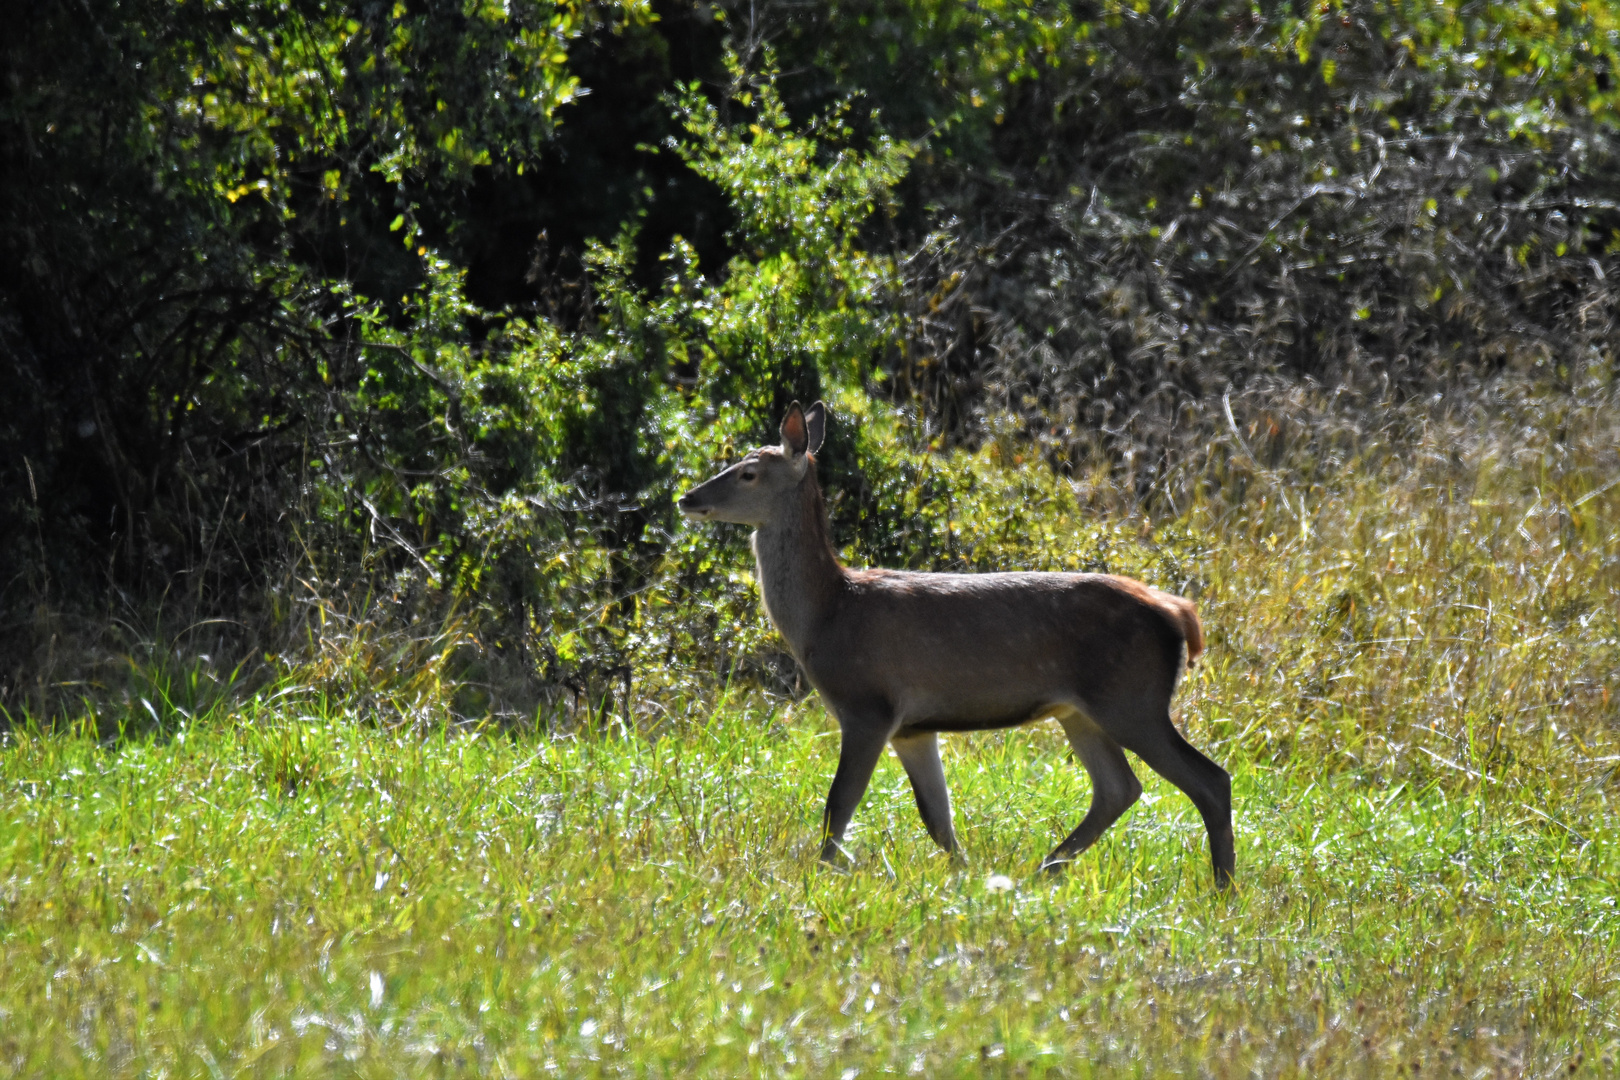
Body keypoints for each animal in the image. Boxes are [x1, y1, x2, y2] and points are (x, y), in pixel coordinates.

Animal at [677, 399, 1231, 887]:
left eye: (748, 472)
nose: (687, 498)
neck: (827, 614)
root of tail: (1178, 612)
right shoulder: (912, 728)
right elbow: (937, 818)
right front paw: (964, 876)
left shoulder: (867, 704)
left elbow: (839, 804)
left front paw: (818, 878)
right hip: (1081, 710)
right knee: (1119, 788)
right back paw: (1045, 869)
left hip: (1132, 697)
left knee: (1210, 780)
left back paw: (1221, 887)